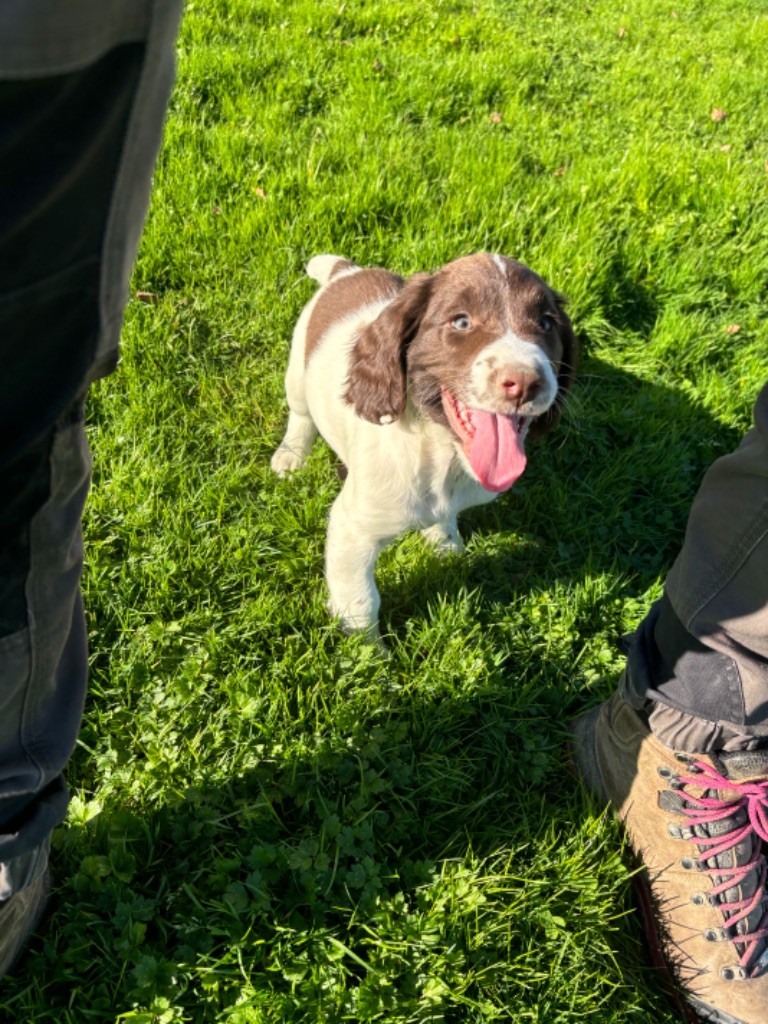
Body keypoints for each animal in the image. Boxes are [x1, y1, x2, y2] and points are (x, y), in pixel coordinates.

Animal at [272, 251, 577, 634]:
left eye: (547, 324)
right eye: (461, 322)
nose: (525, 383)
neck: (441, 454)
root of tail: (348, 271)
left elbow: (445, 520)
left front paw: (444, 544)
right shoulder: (352, 530)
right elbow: (360, 603)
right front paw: (367, 648)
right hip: (297, 372)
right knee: (300, 415)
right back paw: (291, 456)